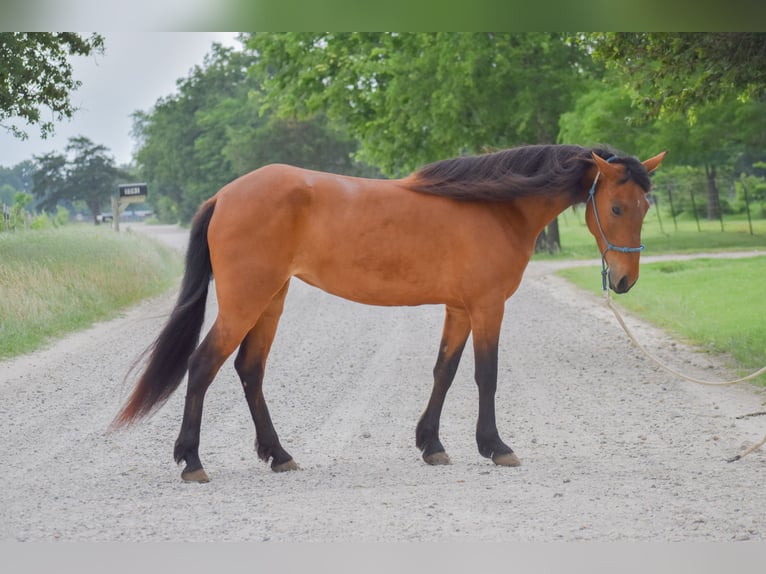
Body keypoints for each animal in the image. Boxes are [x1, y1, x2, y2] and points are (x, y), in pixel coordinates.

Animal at [112, 144, 665, 482]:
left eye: (646, 206)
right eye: (616, 208)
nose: (624, 281)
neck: (495, 206)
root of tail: (225, 195)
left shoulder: (459, 308)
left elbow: (445, 371)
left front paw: (431, 444)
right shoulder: (487, 307)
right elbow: (485, 375)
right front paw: (495, 445)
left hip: (271, 300)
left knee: (250, 369)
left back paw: (280, 455)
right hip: (247, 301)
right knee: (204, 365)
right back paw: (192, 461)